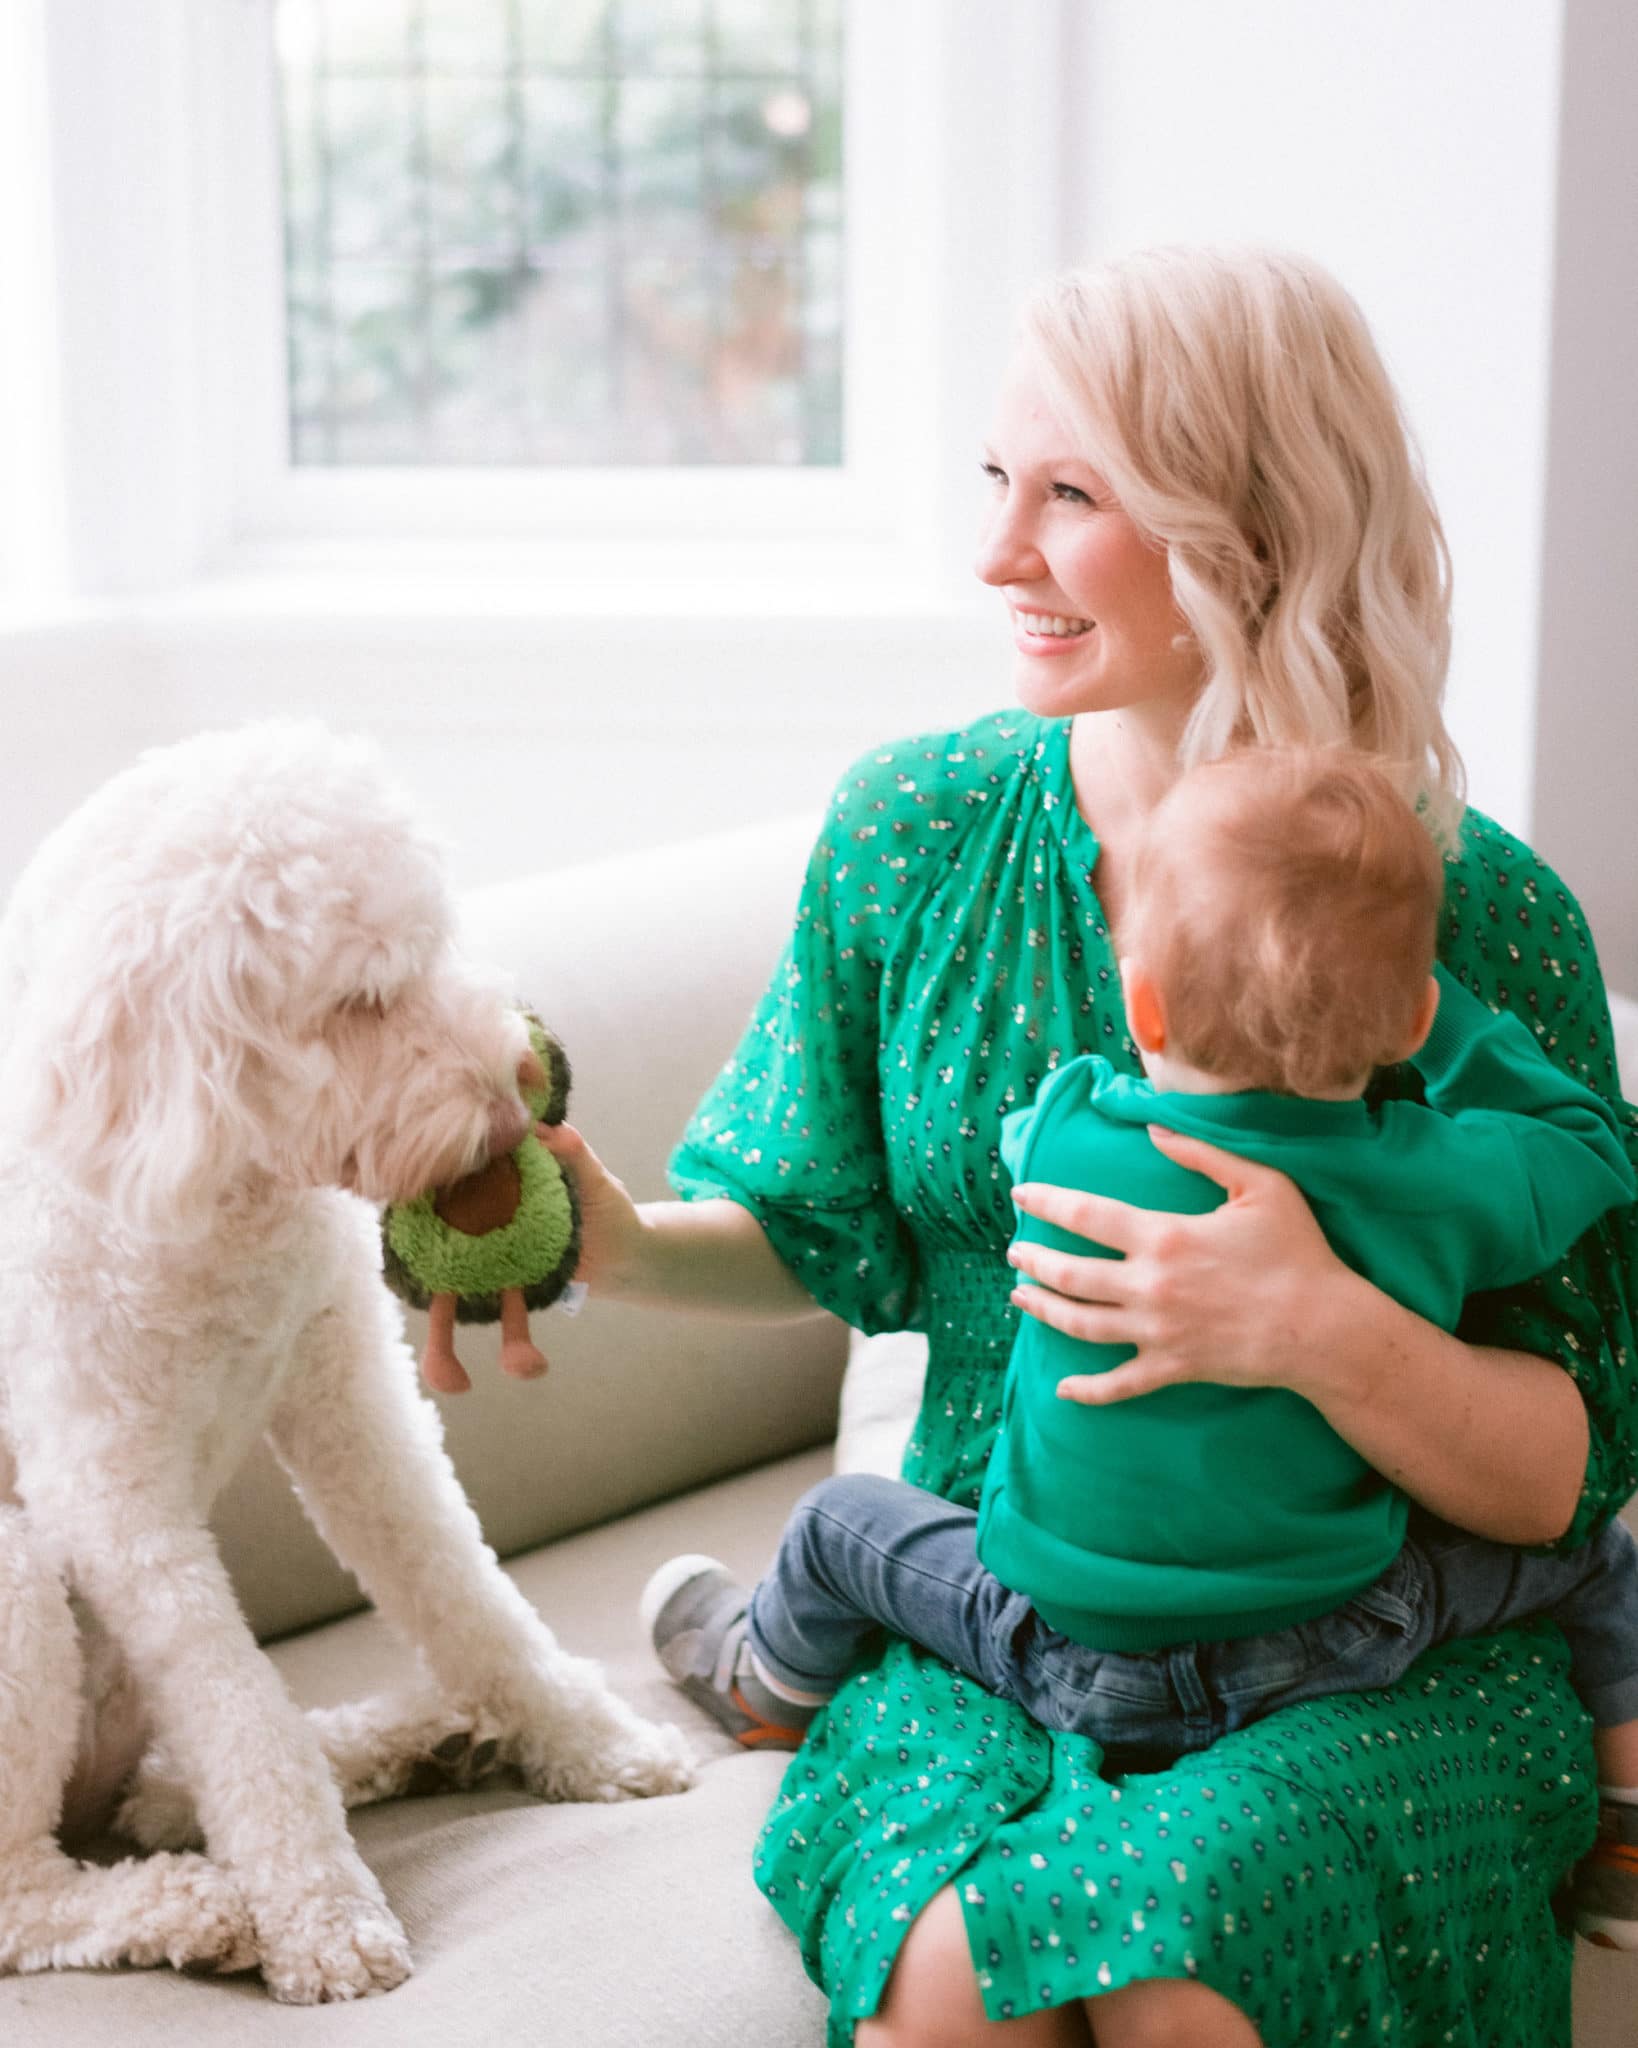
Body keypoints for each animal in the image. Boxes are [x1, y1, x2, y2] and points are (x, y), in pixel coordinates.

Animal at [0, 724, 696, 1998]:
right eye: (359, 1002)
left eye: (435, 949)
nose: (517, 1085)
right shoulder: (113, 1500)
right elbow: (241, 1713)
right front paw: (322, 1915)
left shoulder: (352, 1398)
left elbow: (466, 1591)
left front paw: (590, 1737)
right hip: (20, 1575)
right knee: (26, 1884)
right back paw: (199, 1903)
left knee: (152, 1792)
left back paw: (418, 1735)